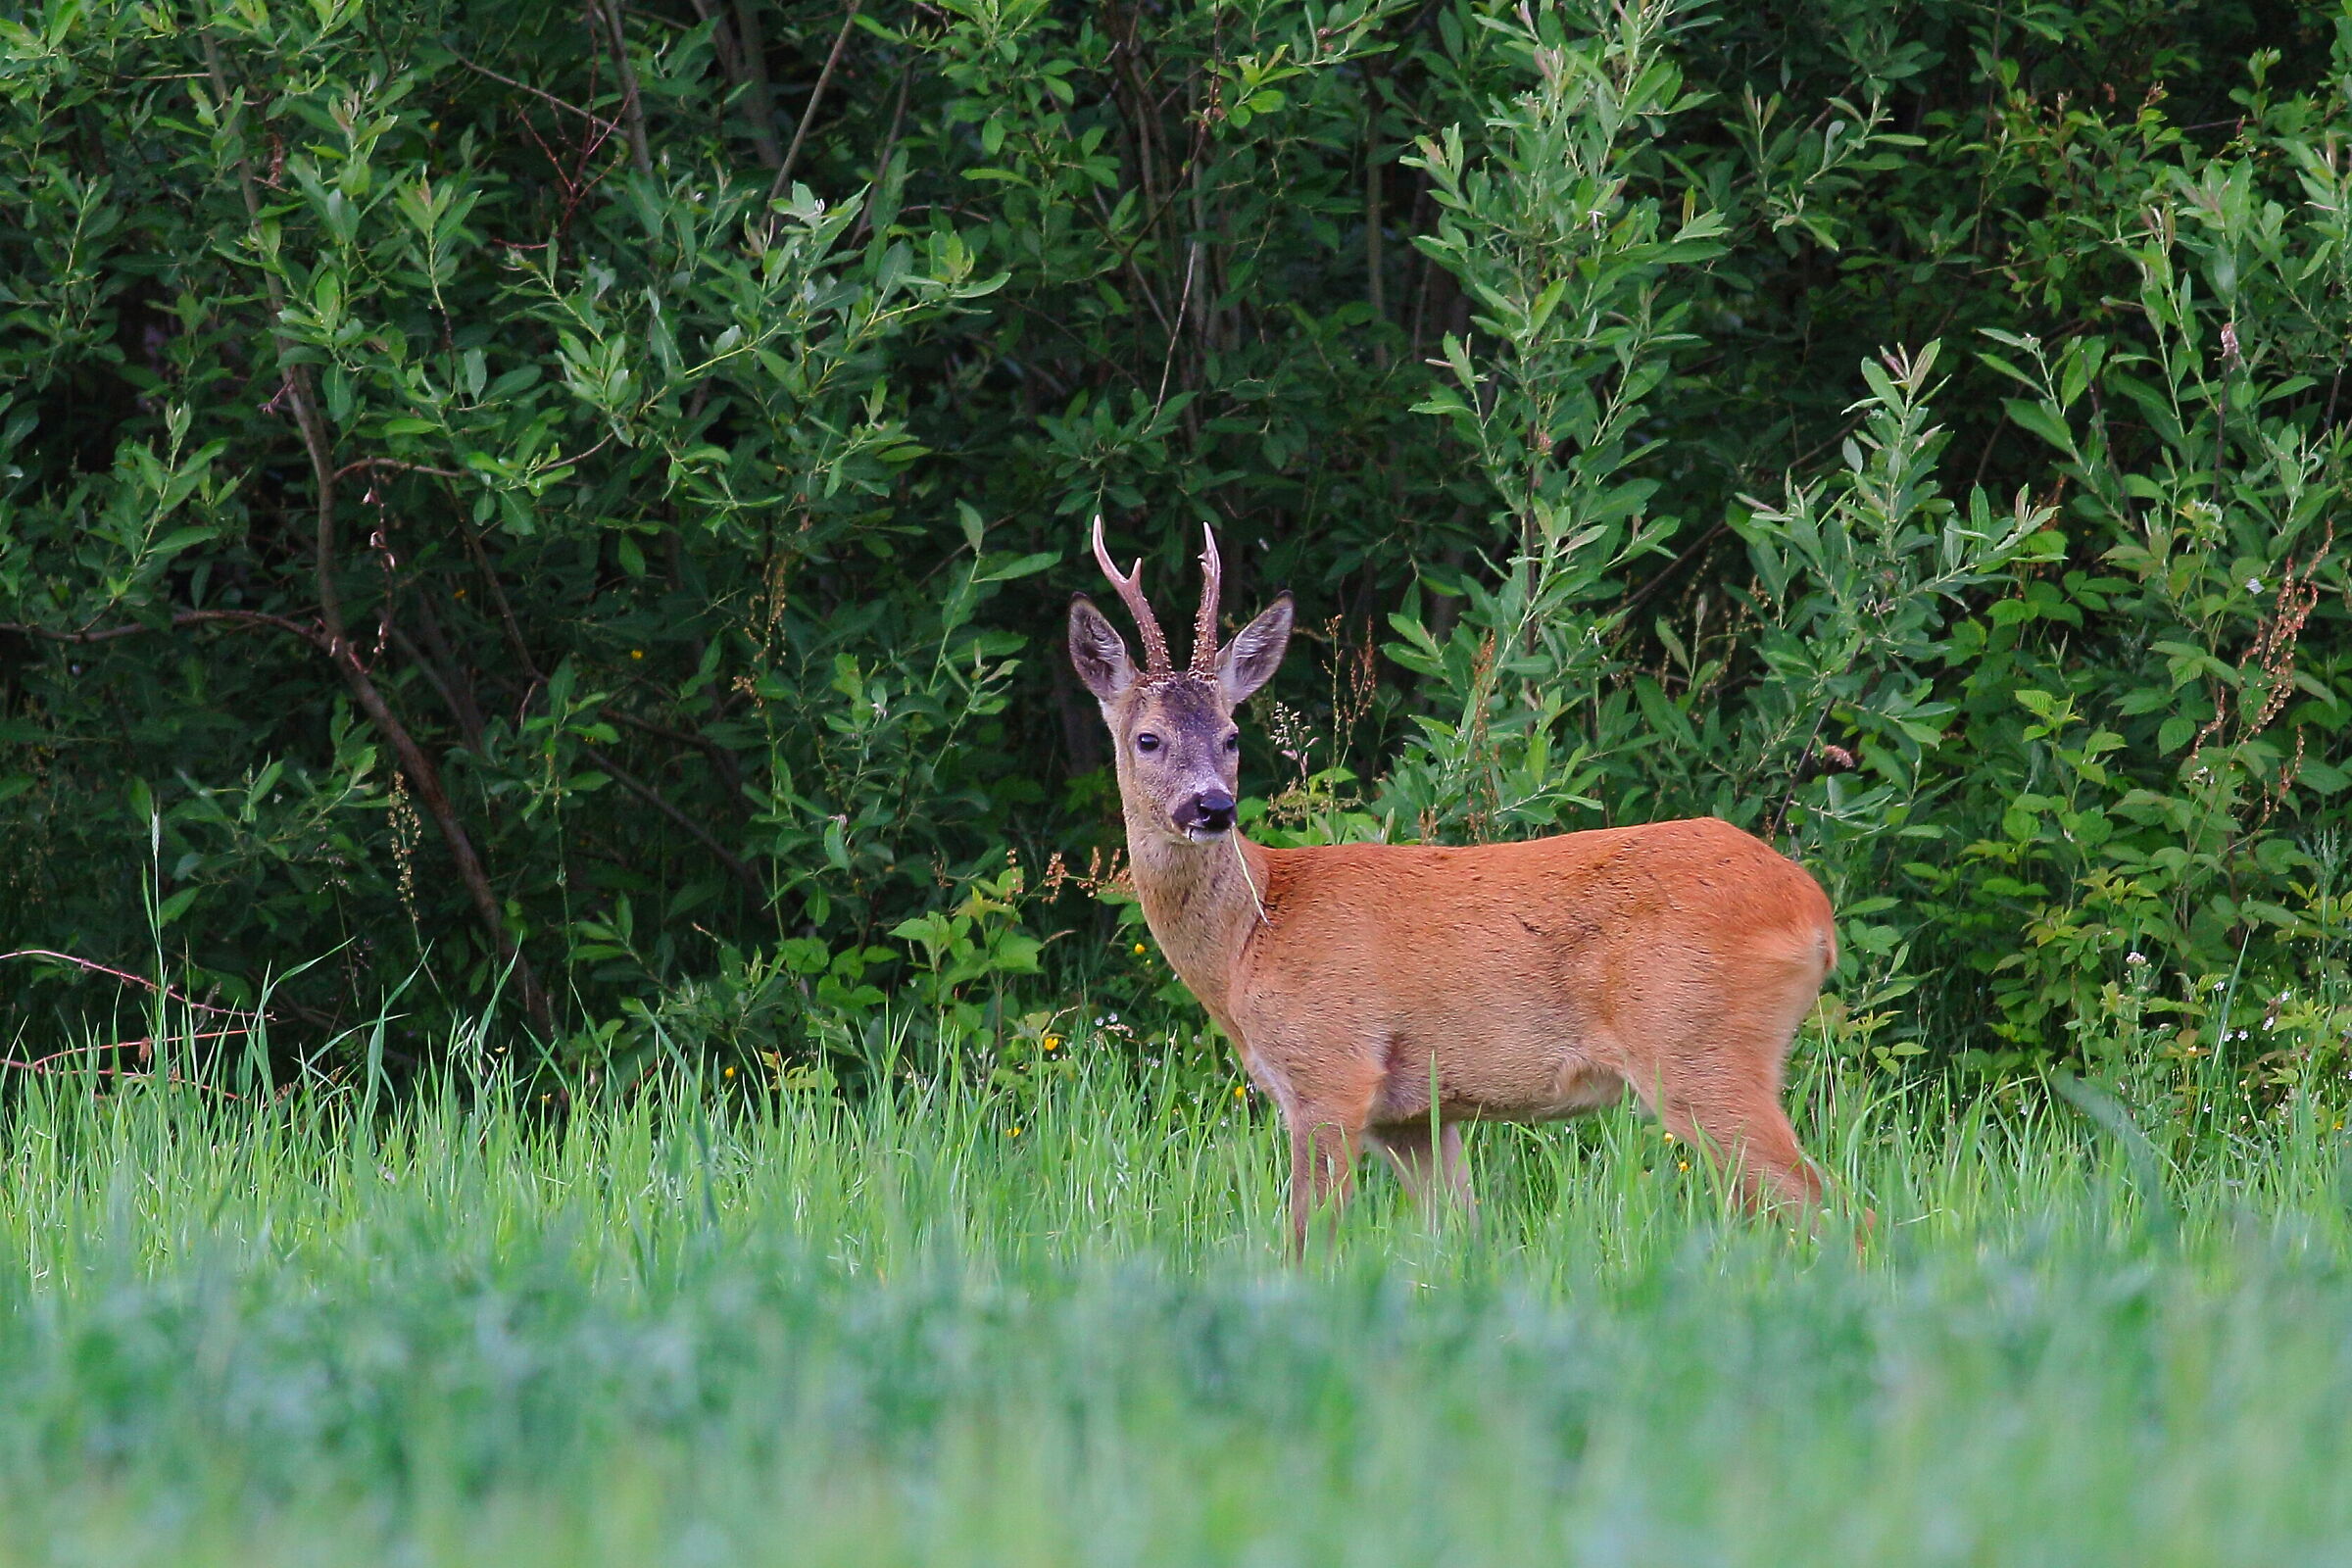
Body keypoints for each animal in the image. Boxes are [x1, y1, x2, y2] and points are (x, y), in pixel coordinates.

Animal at [1067, 519, 1844, 1253]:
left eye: (1231, 735)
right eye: (1148, 739)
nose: (1212, 808)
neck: (1250, 937)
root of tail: (1814, 911)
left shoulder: (1331, 1073)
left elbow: (1306, 1242)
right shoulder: (1413, 1114)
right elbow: (1462, 1239)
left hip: (1698, 1047)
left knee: (1831, 1209)